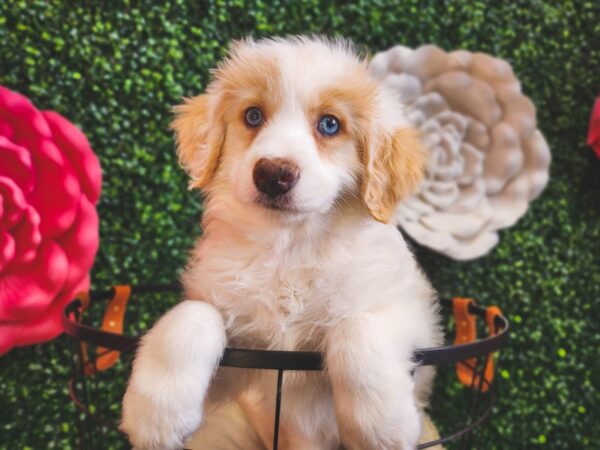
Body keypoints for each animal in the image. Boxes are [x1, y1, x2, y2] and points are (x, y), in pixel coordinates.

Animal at [120, 36, 440, 450]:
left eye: (330, 124)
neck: (291, 246)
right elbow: (191, 316)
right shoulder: (247, 365)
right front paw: (155, 416)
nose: (274, 174)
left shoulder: (416, 318)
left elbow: (357, 327)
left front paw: (383, 429)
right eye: (254, 116)